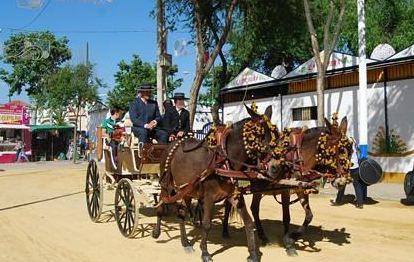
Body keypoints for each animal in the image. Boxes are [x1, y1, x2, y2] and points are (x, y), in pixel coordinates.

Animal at [152, 105, 282, 262]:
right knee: (162, 201)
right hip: (167, 184)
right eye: (260, 135)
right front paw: (205, 252)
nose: (275, 167)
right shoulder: (209, 196)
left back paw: (185, 242)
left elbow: (248, 222)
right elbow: (207, 224)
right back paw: (157, 231)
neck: (224, 159)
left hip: (187, 190)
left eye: (276, 135)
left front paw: (253, 254)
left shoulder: (234, 195)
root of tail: (172, 143)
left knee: (181, 213)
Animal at [222, 116, 350, 256]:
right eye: (337, 150)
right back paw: (225, 231)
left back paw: (261, 235)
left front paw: (292, 237)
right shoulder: (285, 189)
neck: (298, 154)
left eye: (351, 150)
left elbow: (309, 215)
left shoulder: (300, 187)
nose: (342, 181)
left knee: (251, 208)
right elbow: (286, 216)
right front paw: (289, 243)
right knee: (234, 205)